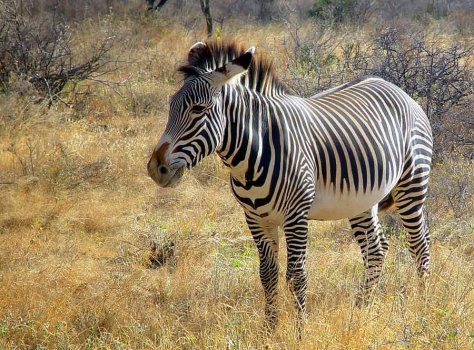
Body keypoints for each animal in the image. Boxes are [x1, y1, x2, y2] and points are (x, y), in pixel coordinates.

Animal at [148, 40, 434, 330]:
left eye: (198, 109)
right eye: (171, 106)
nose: (155, 169)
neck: (251, 156)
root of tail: (394, 87)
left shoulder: (296, 216)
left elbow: (296, 276)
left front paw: (299, 331)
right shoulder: (255, 218)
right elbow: (267, 274)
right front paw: (269, 329)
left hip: (412, 185)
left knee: (419, 245)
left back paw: (421, 307)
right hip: (362, 200)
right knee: (376, 249)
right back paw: (361, 310)